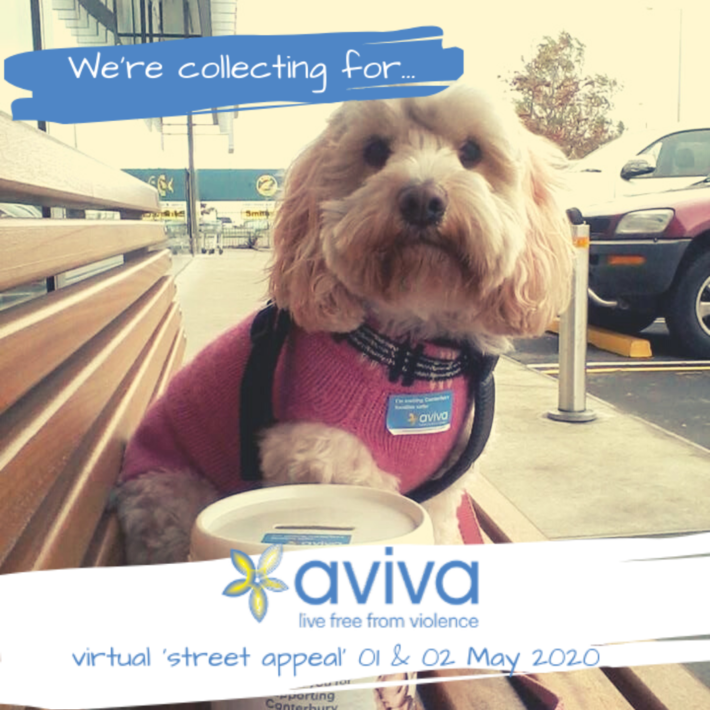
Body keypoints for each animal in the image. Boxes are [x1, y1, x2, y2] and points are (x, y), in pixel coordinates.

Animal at [115, 83, 572, 564]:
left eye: (471, 151)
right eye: (374, 150)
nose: (422, 200)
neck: (410, 351)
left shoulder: (443, 490)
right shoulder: (326, 460)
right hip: (175, 497)